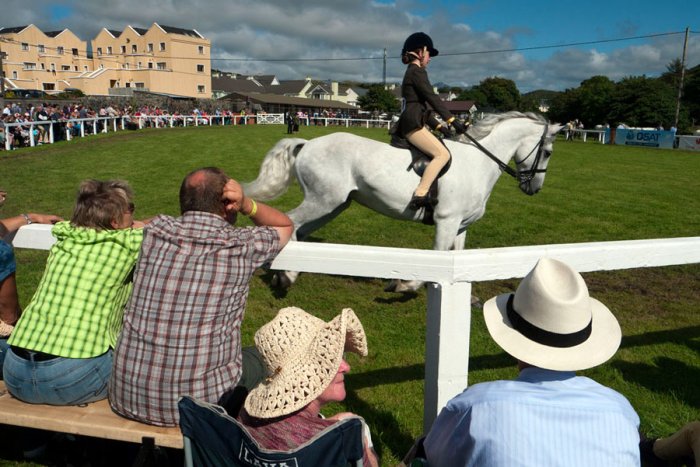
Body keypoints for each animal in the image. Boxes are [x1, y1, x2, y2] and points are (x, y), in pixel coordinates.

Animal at [246, 111, 564, 290]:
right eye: (548, 152)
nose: (534, 188)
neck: (478, 162)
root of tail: (307, 143)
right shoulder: (446, 222)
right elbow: (437, 258)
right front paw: (407, 283)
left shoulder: (460, 226)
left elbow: (455, 256)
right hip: (322, 201)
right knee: (292, 223)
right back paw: (286, 274)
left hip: (333, 204)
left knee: (300, 229)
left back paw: (287, 272)